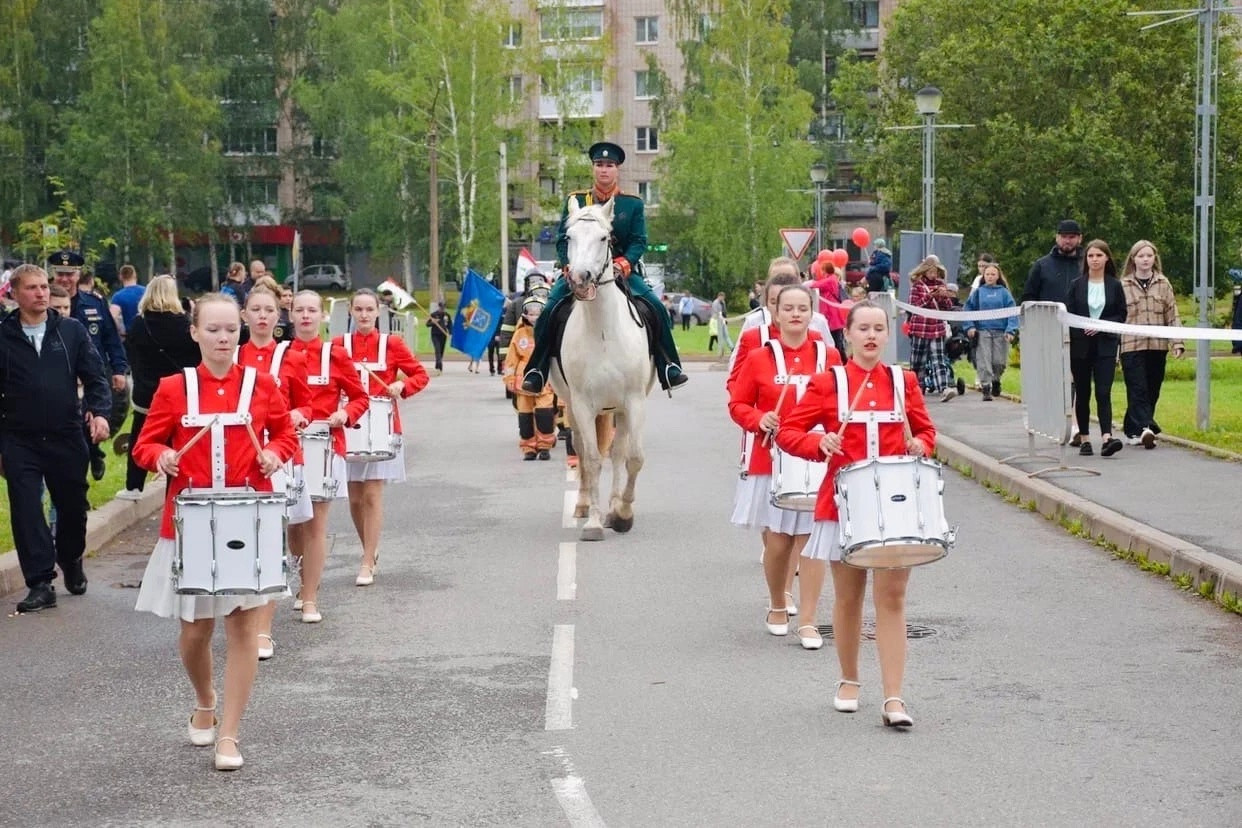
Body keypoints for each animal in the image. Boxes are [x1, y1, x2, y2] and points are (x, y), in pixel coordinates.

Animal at [548, 197, 655, 541]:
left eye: (604, 238)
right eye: (568, 237)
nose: (580, 277)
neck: (604, 331)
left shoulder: (634, 401)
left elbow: (633, 458)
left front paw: (621, 514)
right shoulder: (582, 403)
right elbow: (593, 460)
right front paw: (594, 523)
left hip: (618, 408)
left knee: (618, 453)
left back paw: (613, 506)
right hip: (574, 406)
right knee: (583, 451)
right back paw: (584, 505)